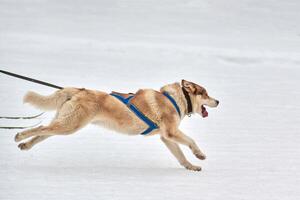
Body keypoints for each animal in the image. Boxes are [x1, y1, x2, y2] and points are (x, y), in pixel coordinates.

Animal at [15, 79, 218, 170]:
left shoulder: (166, 137)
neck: (176, 99)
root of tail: (77, 90)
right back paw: (19, 136)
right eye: (206, 93)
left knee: (42, 133)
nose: (218, 101)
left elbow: (180, 156)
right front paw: (200, 155)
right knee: (40, 129)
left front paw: (191, 166)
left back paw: (25, 145)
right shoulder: (171, 132)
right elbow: (191, 141)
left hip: (65, 124)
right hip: (70, 125)